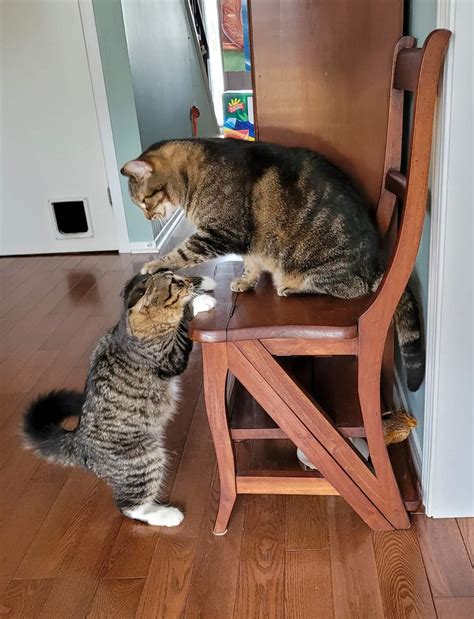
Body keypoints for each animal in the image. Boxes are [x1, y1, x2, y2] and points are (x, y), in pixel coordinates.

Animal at [21, 272, 215, 528]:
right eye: (175, 284)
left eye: (178, 277)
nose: (187, 281)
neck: (129, 329)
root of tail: (76, 440)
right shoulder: (171, 356)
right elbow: (184, 321)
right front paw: (199, 301)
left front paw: (204, 281)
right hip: (144, 459)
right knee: (129, 507)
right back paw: (168, 515)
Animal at [122, 138, 426, 390]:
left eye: (143, 201)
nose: (148, 218)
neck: (194, 176)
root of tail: (379, 265)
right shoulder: (249, 242)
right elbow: (251, 263)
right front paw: (245, 281)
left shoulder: (220, 233)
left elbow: (184, 252)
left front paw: (155, 264)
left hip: (320, 267)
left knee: (352, 288)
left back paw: (292, 289)